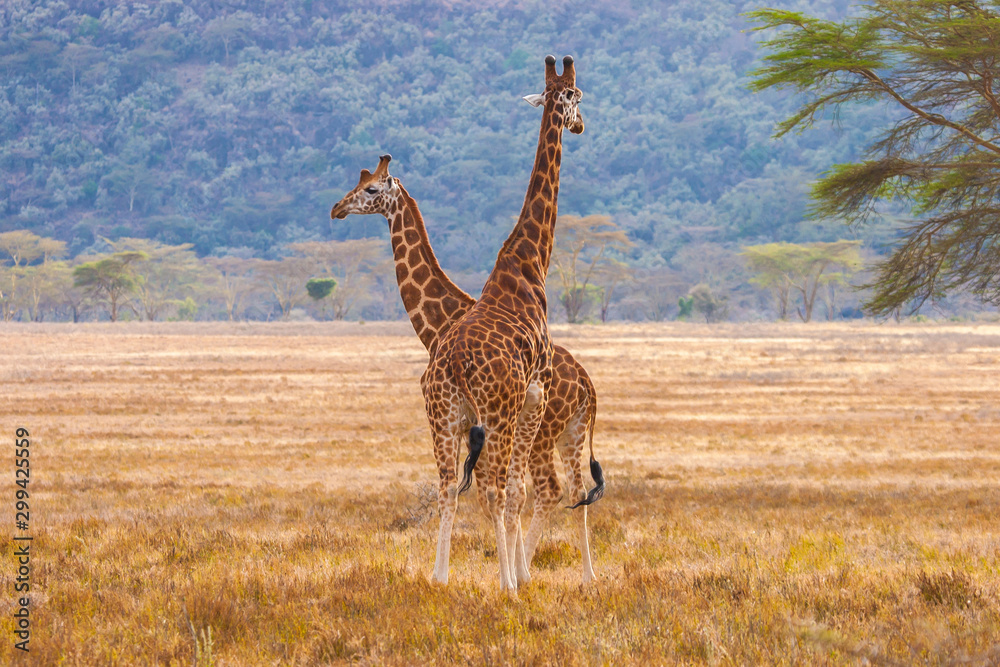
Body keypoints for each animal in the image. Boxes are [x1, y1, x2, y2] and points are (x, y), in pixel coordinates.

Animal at [329, 154, 604, 583]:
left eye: (371, 188)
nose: (337, 208)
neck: (438, 325)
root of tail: (586, 382)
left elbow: (494, 495)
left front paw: (509, 574)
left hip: (543, 433)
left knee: (545, 489)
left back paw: (531, 573)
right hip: (569, 434)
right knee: (573, 492)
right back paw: (584, 577)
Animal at [419, 55, 586, 591]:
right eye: (578, 95)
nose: (580, 124)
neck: (530, 261)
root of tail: (451, 363)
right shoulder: (536, 390)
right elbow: (514, 490)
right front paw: (516, 577)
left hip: (446, 414)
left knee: (447, 485)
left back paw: (440, 578)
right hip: (496, 411)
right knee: (492, 488)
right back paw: (506, 584)